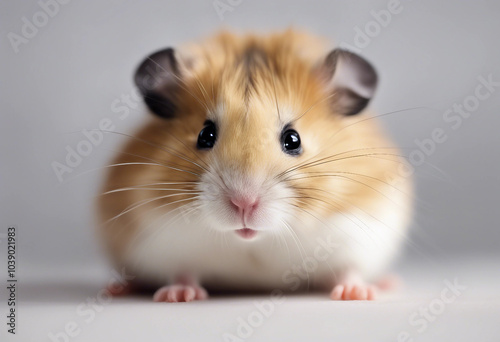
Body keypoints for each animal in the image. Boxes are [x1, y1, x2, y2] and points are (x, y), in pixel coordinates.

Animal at [96, 29, 410, 302]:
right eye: (205, 135)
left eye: (293, 139)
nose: (243, 204)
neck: (254, 241)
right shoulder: (162, 242)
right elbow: (181, 272)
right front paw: (178, 296)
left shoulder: (358, 234)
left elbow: (350, 269)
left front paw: (356, 294)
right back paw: (117, 288)